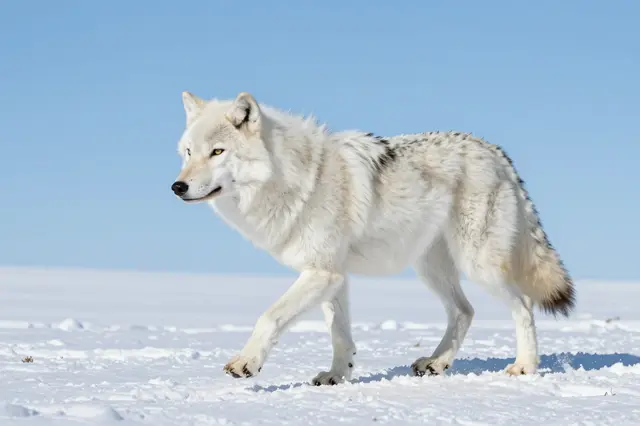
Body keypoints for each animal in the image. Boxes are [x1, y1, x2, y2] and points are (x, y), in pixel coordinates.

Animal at [171, 91, 575, 385]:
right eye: (188, 153)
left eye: (218, 151)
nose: (178, 186)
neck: (297, 179)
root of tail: (493, 150)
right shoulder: (333, 276)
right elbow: (339, 334)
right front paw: (337, 376)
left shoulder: (322, 273)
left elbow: (269, 317)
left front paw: (246, 363)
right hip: (431, 269)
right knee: (465, 311)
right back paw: (436, 363)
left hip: (480, 265)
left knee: (523, 306)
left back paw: (524, 366)